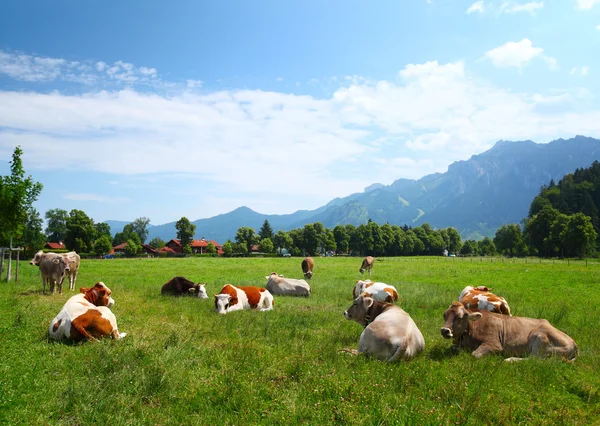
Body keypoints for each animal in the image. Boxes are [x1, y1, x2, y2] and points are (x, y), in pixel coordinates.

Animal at [440, 302, 576, 362]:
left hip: (540, 337)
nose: (444, 330)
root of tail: (574, 344)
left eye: (459, 317)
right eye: (444, 315)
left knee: (534, 359)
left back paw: (510, 359)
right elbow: (454, 348)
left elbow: (474, 354)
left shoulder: (494, 344)